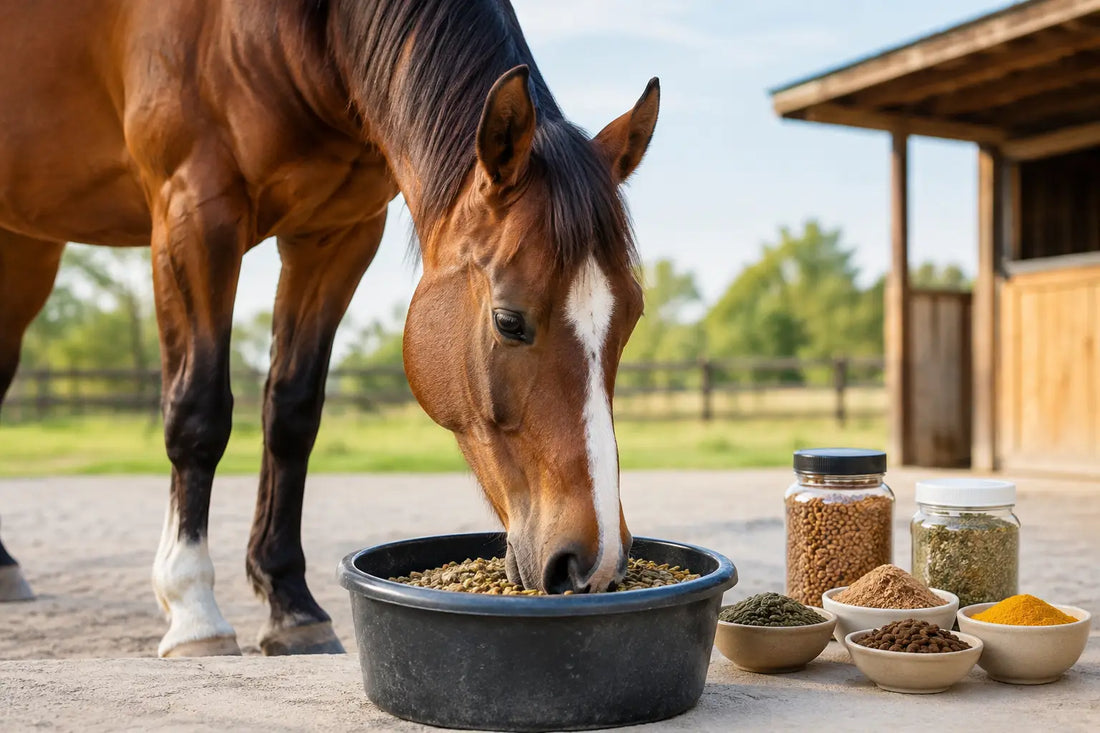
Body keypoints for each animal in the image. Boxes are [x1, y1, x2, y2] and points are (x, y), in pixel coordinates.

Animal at [0, 0, 658, 657]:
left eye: (631, 318)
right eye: (508, 321)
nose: (595, 563)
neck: (288, 30)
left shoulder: (335, 235)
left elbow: (292, 415)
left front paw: (291, 605)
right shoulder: (193, 216)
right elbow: (198, 413)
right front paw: (193, 609)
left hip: (26, 250)